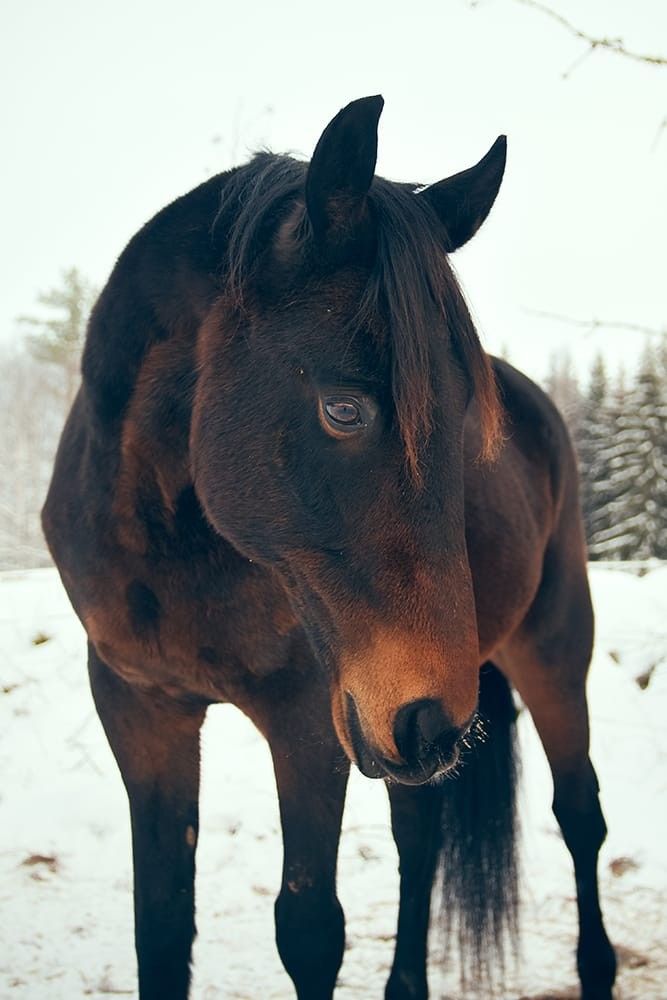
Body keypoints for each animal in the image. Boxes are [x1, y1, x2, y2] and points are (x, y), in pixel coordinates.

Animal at [40, 95, 616, 1000]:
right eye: (343, 409)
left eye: (466, 416)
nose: (429, 717)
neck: (180, 551)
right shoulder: (141, 712)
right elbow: (161, 929)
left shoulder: (309, 722)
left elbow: (309, 931)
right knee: (421, 837)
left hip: (548, 652)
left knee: (579, 817)